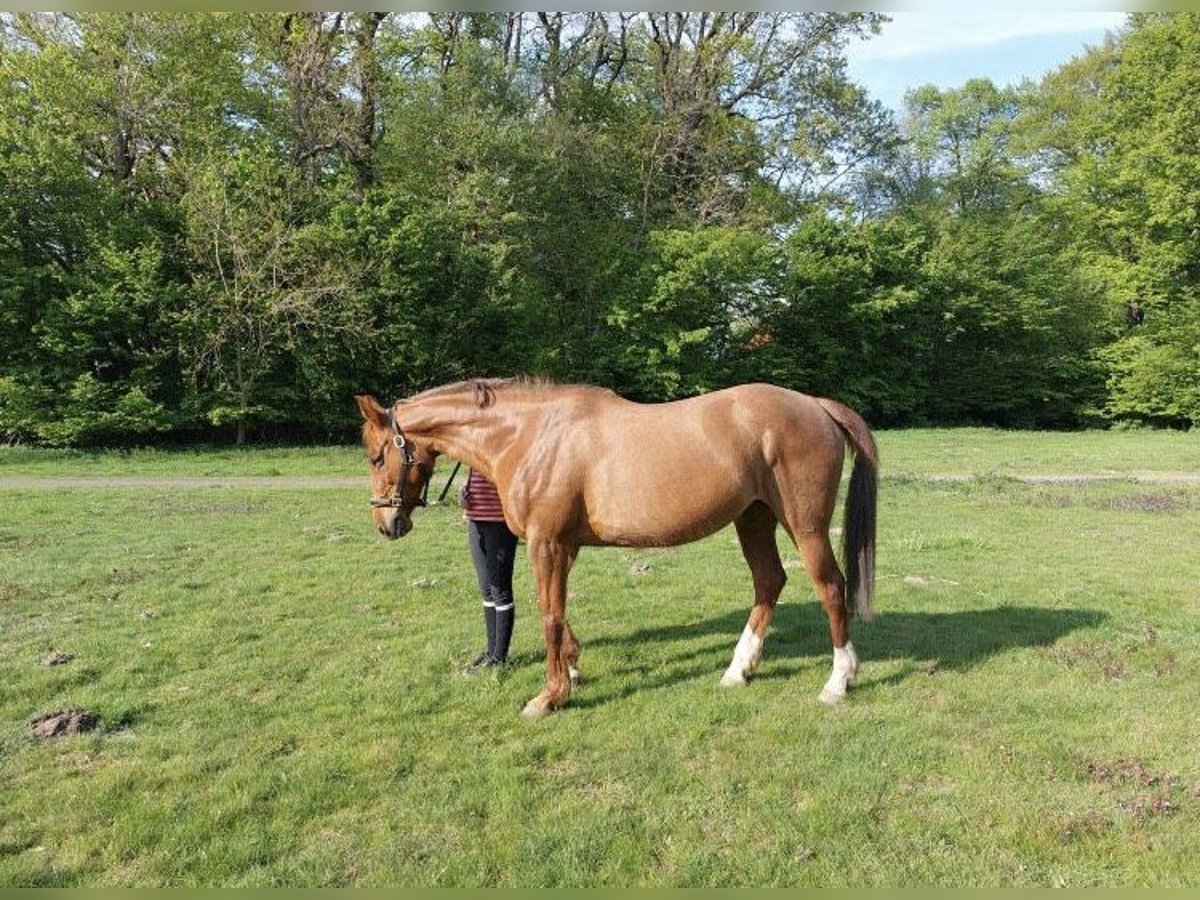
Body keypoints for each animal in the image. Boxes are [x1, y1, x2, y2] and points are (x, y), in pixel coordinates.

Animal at [350, 379, 878, 720]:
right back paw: (737, 671)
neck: (530, 435)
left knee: (831, 587)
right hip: (754, 518)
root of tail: (815, 405)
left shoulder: (546, 543)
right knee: (769, 582)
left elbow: (549, 615)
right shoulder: (562, 546)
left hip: (804, 524)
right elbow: (557, 612)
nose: (387, 523)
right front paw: (572, 666)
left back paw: (838, 682)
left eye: (377, 456)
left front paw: (549, 696)